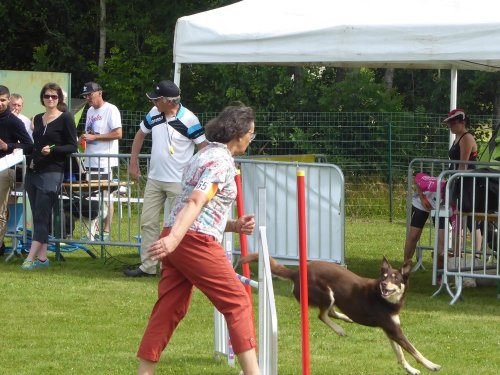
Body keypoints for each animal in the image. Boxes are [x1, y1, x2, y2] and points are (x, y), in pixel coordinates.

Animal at [239, 254, 442, 374]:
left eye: (395, 278)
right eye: (384, 277)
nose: (384, 285)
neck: (384, 299)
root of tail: (296, 273)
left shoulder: (390, 330)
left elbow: (400, 354)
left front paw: (410, 369)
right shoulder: (394, 330)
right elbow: (415, 351)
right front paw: (431, 365)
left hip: (332, 297)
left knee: (330, 312)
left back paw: (346, 319)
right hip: (326, 293)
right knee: (322, 315)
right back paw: (339, 329)